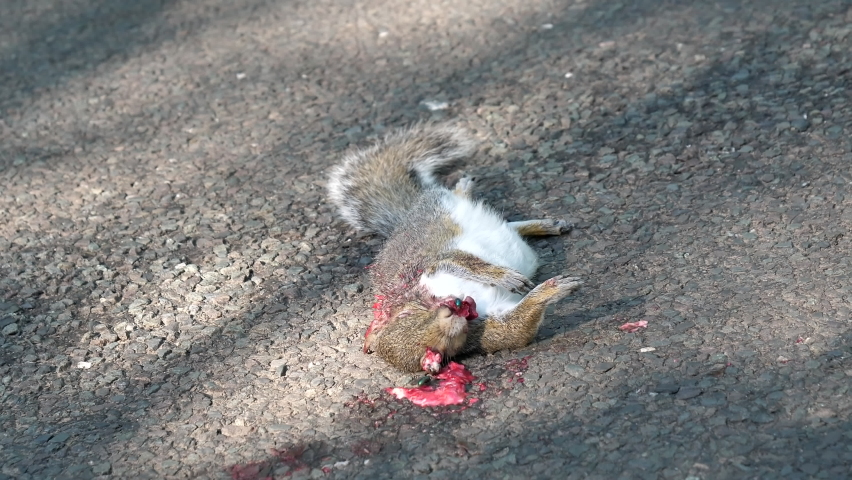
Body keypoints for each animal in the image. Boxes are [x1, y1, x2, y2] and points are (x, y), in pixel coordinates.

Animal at [327, 124, 582, 373]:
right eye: (435, 353)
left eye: (409, 315)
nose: (451, 309)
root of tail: (404, 220)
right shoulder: (481, 330)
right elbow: (517, 329)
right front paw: (550, 291)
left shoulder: (430, 270)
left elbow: (460, 263)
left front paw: (504, 277)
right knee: (510, 228)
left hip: (438, 207)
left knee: (462, 204)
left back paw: (467, 187)